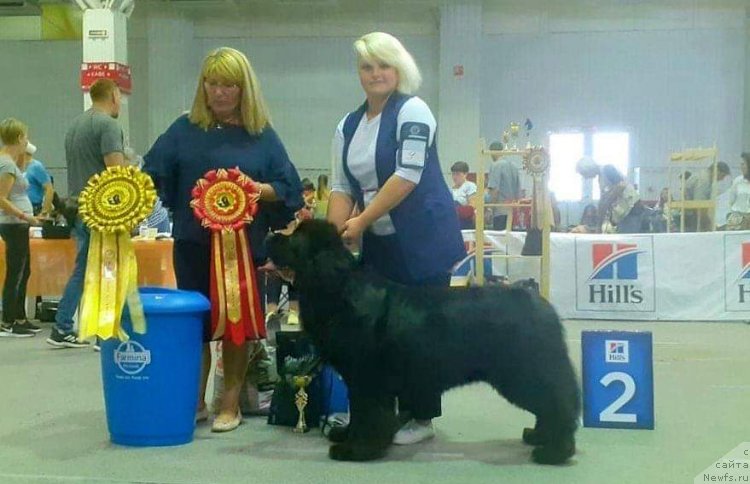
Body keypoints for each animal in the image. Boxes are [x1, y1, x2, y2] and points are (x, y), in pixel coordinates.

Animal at [268, 220, 580, 466]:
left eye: (294, 235)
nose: (270, 235)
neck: (340, 290)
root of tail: (540, 304)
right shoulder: (360, 381)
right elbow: (357, 413)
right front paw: (346, 435)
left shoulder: (368, 379)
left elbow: (368, 414)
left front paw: (356, 450)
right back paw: (539, 437)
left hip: (523, 373)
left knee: (557, 403)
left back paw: (555, 451)